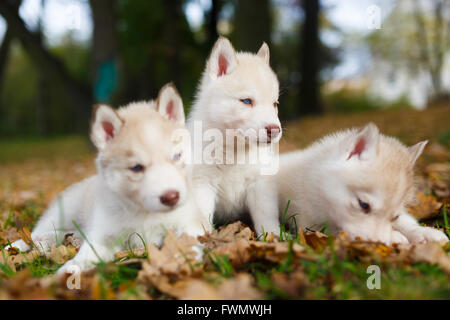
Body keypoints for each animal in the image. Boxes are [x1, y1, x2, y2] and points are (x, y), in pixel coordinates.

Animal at [8, 84, 209, 274]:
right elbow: (86, 254)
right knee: (35, 232)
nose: (171, 197)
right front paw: (69, 271)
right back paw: (17, 246)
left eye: (176, 157)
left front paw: (184, 260)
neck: (143, 213)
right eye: (137, 168)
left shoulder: (191, 222)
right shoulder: (104, 235)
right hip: (62, 212)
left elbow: (186, 241)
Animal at [188, 37, 284, 232]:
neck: (234, 151)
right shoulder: (202, 184)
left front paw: (275, 236)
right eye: (246, 101)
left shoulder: (260, 184)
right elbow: (202, 218)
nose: (274, 129)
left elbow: (266, 217)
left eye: (275, 104)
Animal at [251, 122, 448, 245]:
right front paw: (395, 237)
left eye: (395, 216)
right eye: (363, 205)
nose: (378, 243)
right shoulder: (311, 224)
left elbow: (407, 221)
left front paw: (423, 232)